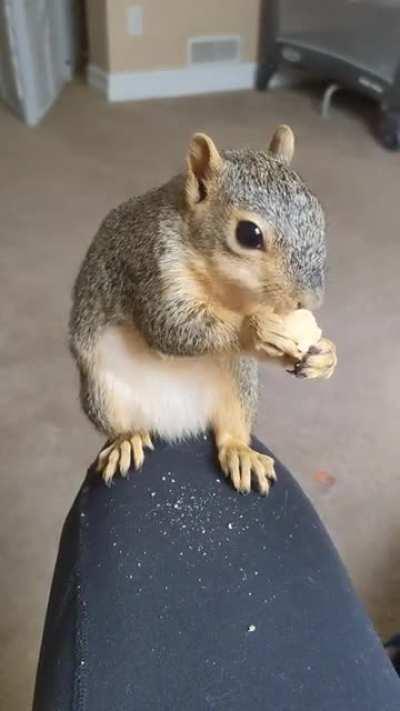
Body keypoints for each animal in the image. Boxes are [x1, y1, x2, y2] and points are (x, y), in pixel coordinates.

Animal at [69, 125, 337, 495]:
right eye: (249, 234)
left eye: (319, 216)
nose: (309, 301)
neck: (222, 284)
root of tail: (177, 423)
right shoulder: (149, 265)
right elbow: (168, 325)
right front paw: (258, 329)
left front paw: (325, 356)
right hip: (102, 391)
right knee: (122, 425)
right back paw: (127, 441)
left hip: (239, 383)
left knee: (230, 430)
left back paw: (241, 452)